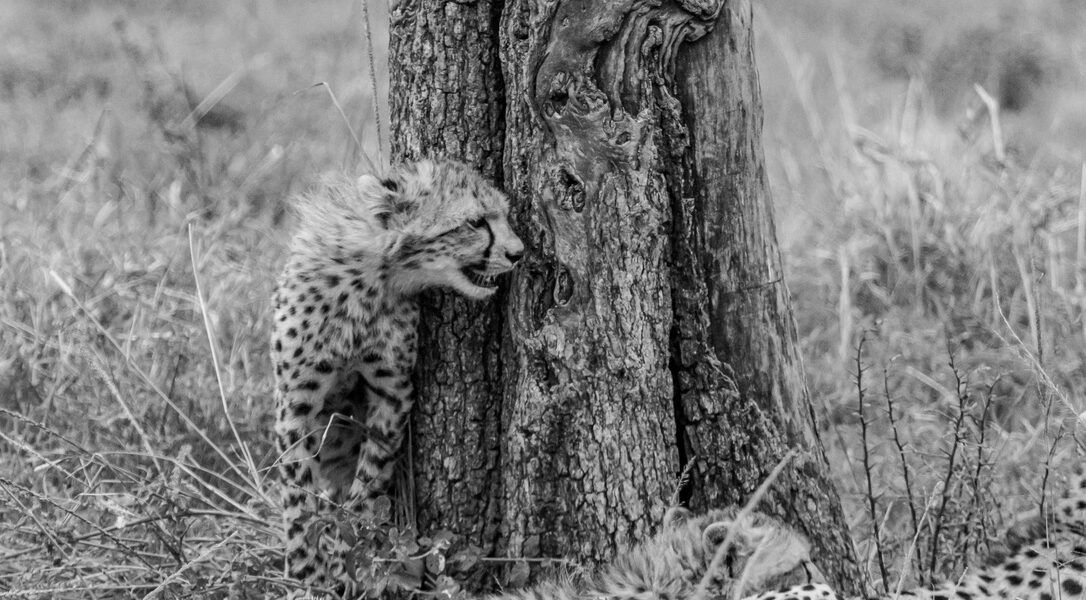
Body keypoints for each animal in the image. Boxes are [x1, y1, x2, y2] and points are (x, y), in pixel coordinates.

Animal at [271, 158, 524, 597]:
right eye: (476, 221)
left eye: (504, 216)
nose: (519, 252)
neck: (375, 275)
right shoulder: (296, 398)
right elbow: (298, 492)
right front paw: (308, 574)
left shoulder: (393, 392)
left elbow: (368, 483)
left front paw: (348, 559)